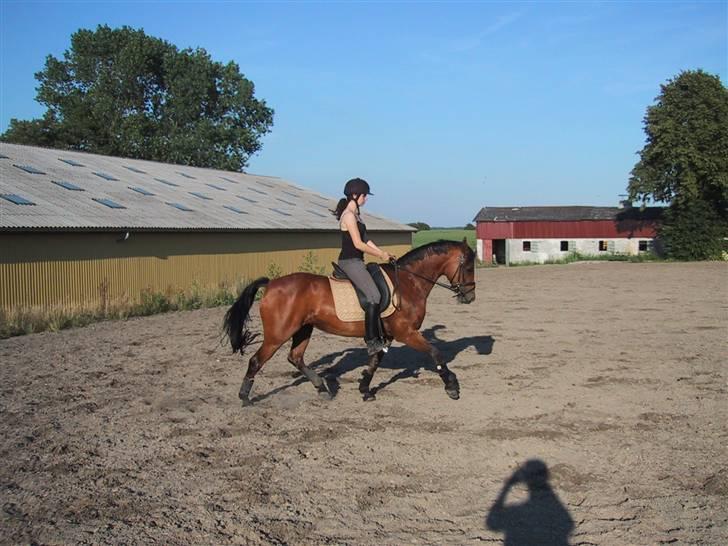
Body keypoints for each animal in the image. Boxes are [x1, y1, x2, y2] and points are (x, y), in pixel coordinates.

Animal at [223, 239, 476, 406]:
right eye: (468, 267)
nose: (470, 297)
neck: (408, 282)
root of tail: (271, 284)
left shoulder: (387, 336)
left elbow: (374, 361)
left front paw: (365, 389)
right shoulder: (406, 332)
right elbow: (436, 353)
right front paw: (452, 387)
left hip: (303, 329)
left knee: (295, 357)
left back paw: (322, 388)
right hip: (278, 334)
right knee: (257, 360)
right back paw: (245, 397)